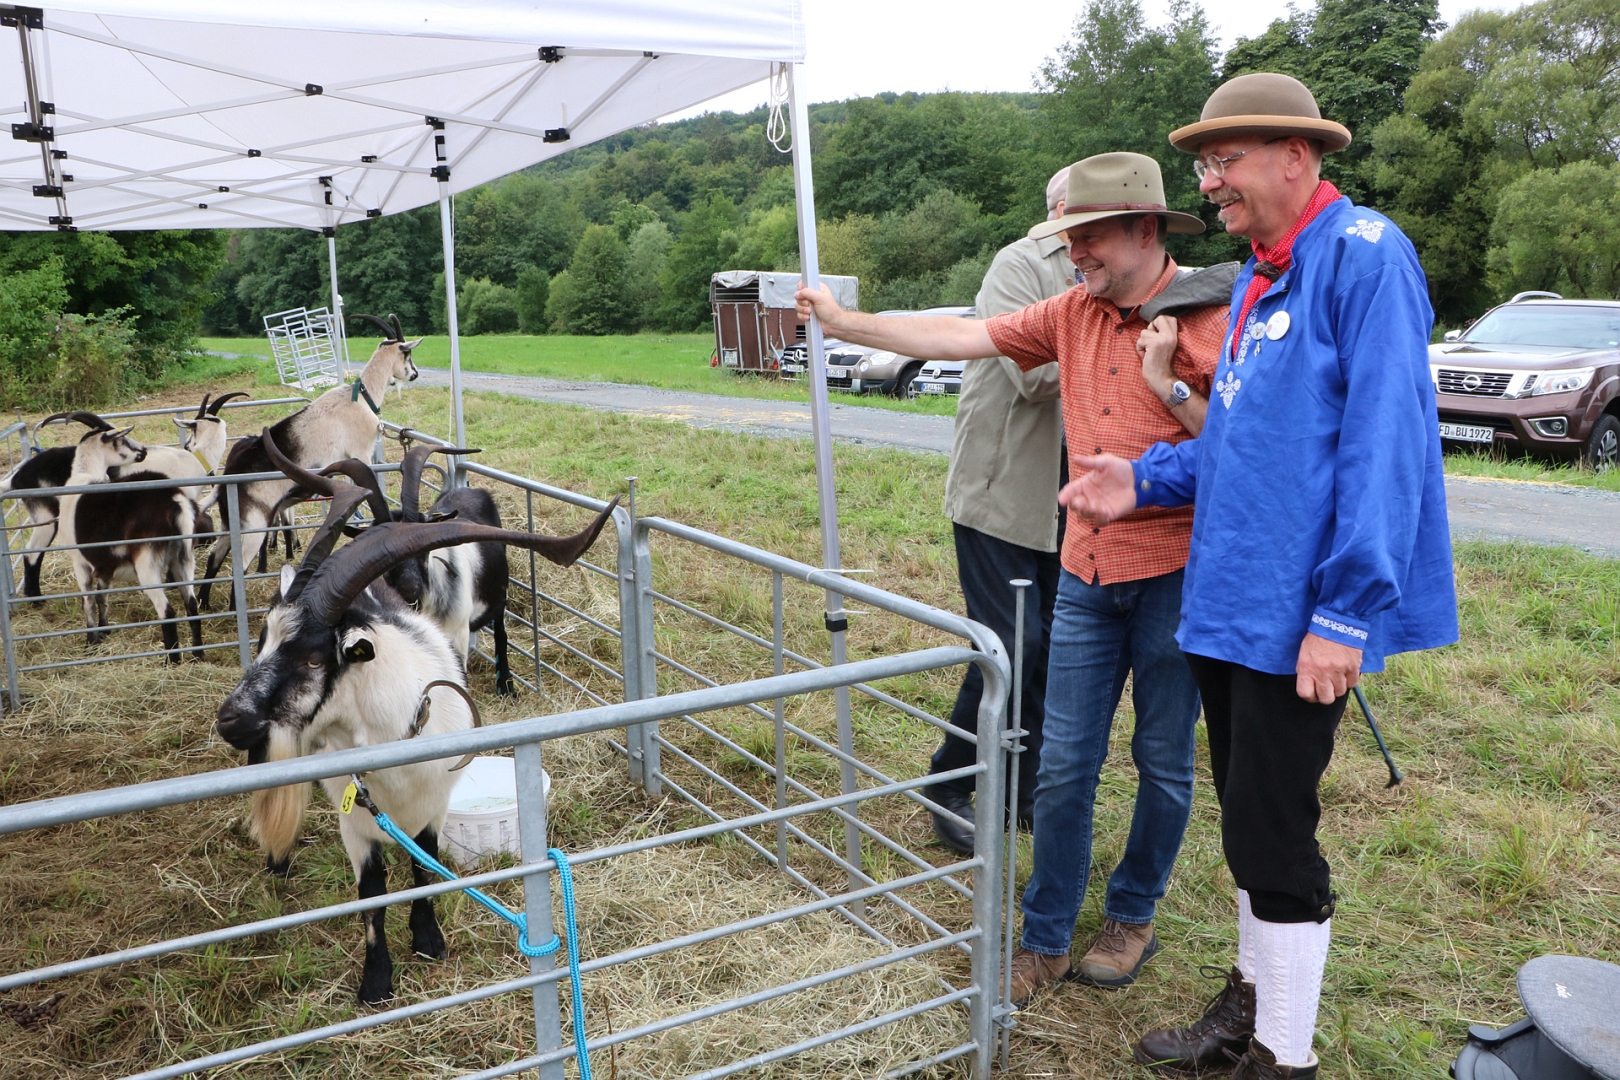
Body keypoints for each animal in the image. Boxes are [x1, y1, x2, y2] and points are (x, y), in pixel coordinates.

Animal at [53, 416, 205, 661]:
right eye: (122, 439)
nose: (142, 452)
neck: (84, 476)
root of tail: (174, 501)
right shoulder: (105, 564)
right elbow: (102, 596)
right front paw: (104, 631)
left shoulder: (79, 561)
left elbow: (88, 601)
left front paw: (91, 642)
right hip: (183, 559)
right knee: (191, 605)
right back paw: (198, 655)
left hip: (147, 563)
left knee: (167, 611)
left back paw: (172, 662)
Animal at [198, 314, 420, 610]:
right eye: (407, 353)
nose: (414, 374)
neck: (361, 397)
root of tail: (228, 478)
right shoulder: (361, 452)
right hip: (254, 523)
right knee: (239, 566)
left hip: (229, 522)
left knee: (215, 556)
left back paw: (204, 605)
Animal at [213, 430, 618, 1004]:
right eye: (265, 639)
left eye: (315, 657)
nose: (229, 720)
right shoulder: (356, 821)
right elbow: (372, 895)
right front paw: (376, 981)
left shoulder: (435, 804)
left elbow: (423, 867)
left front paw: (428, 941)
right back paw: (278, 861)